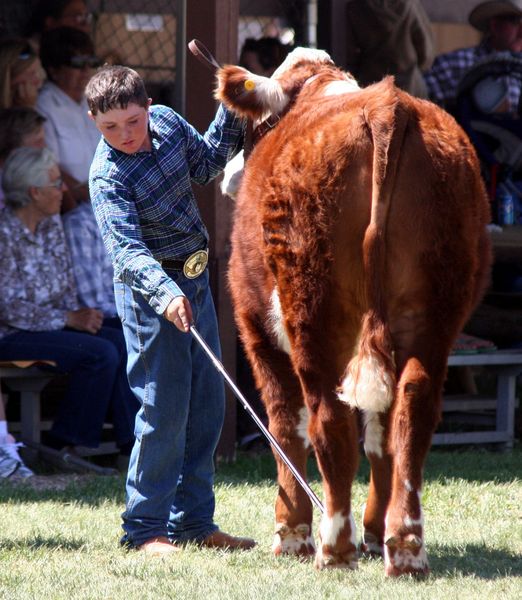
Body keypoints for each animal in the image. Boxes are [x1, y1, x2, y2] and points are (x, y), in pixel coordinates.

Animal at [213, 48, 490, 576]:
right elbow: (380, 436)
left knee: (327, 419)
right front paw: (374, 530)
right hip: (433, 314)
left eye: (255, 127)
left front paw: (292, 532)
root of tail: (387, 106)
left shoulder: (255, 327)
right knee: (410, 410)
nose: (229, 176)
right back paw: (404, 544)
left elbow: (284, 424)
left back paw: (334, 546)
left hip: (313, 314)